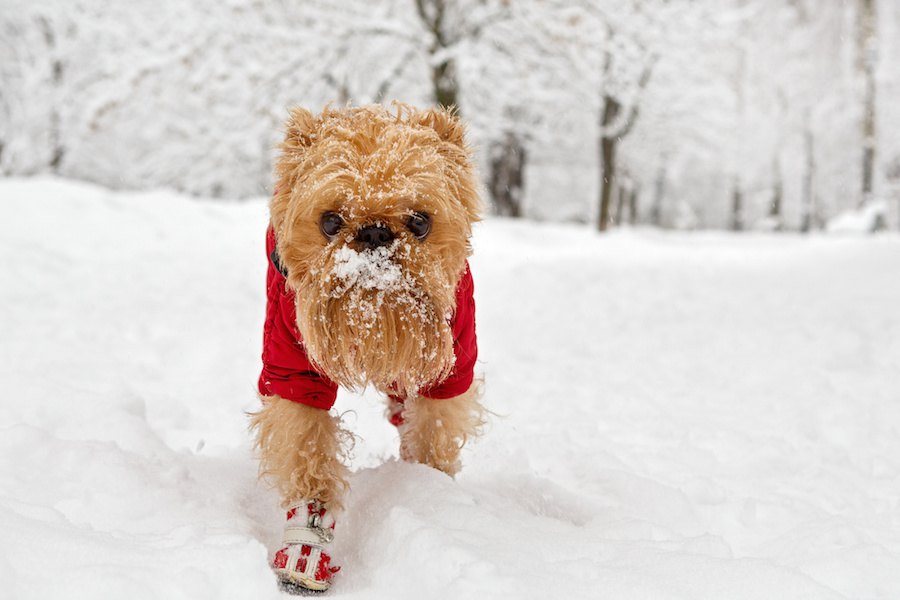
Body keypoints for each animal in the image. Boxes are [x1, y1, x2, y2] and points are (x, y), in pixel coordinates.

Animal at [246, 104, 486, 592]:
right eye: (330, 222)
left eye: (420, 222)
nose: (374, 232)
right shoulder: (293, 370)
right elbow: (308, 452)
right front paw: (305, 549)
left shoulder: (452, 365)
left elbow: (433, 431)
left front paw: (430, 492)